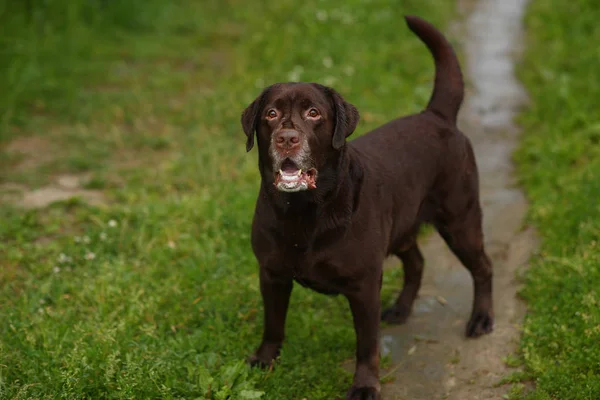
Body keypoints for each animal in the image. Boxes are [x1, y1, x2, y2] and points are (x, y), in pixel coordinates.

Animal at [241, 15, 494, 400]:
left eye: (313, 113)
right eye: (270, 114)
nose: (286, 138)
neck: (305, 212)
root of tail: (437, 115)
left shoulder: (363, 285)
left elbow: (367, 344)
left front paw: (364, 385)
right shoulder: (271, 273)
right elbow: (273, 324)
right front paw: (265, 359)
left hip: (460, 221)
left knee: (483, 267)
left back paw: (481, 318)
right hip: (405, 225)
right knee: (417, 261)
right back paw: (402, 308)